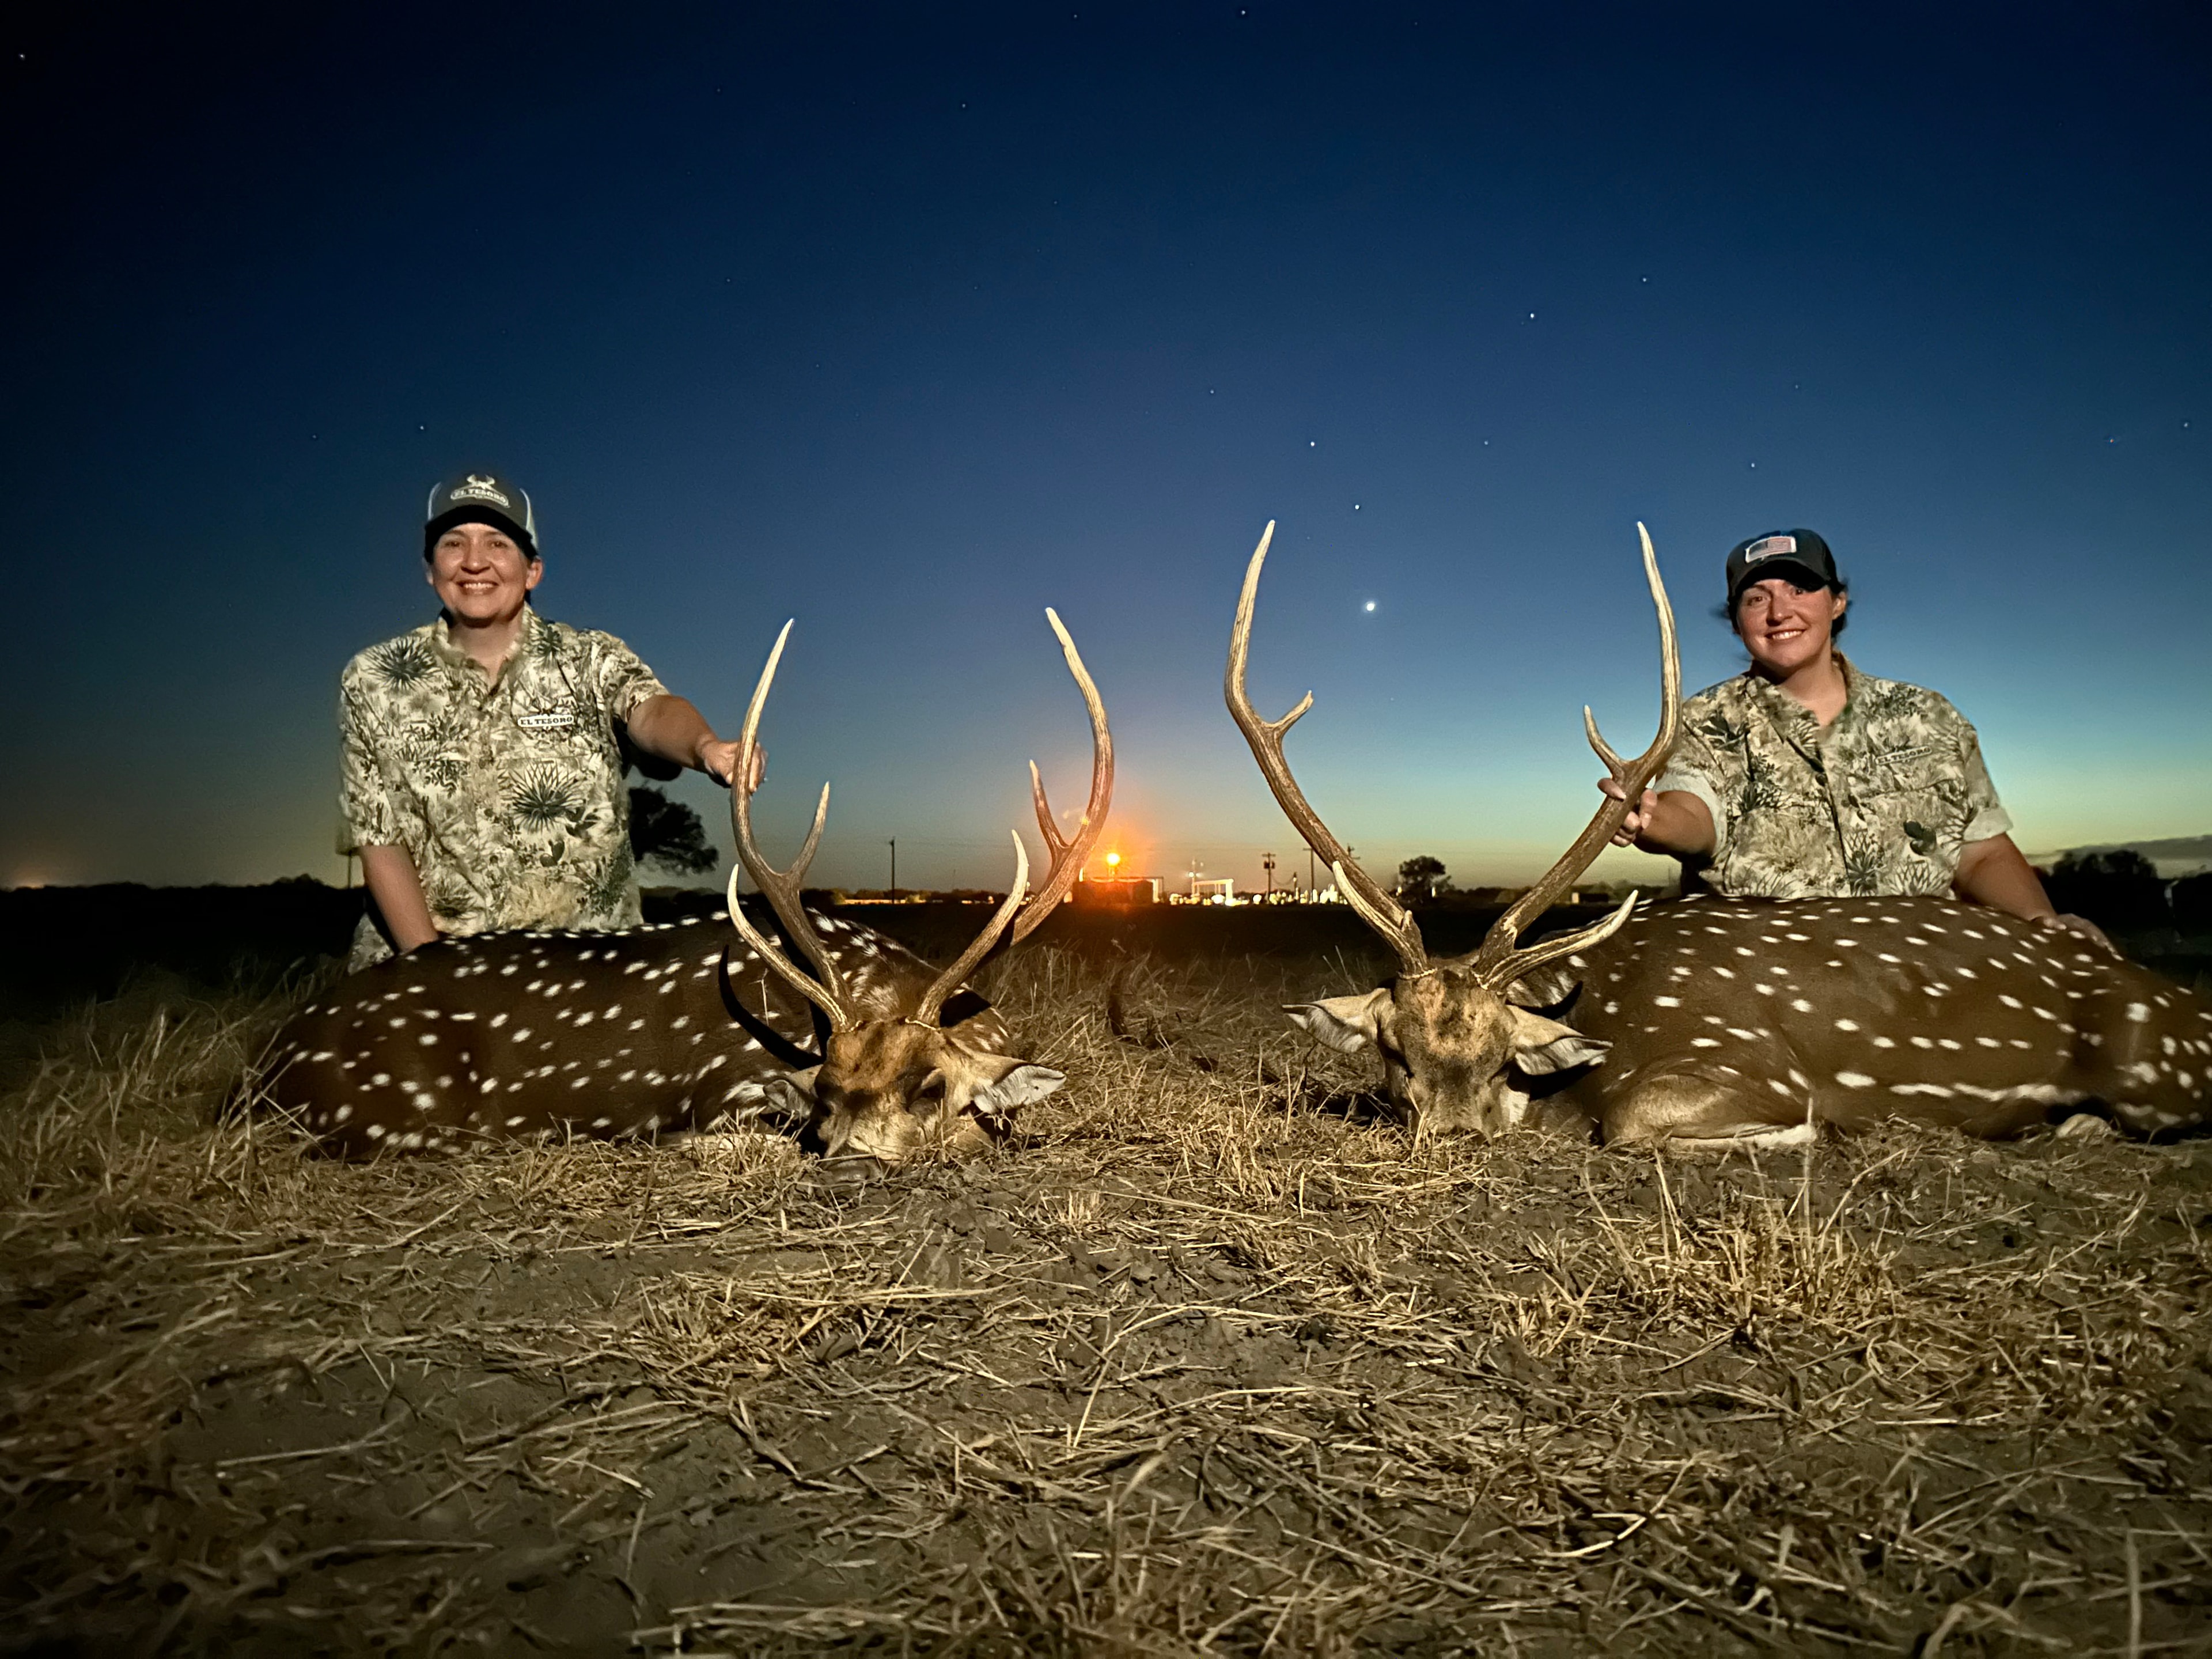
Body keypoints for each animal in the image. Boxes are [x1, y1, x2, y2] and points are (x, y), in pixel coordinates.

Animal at [262, 609, 1111, 1166]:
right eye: (826, 1091)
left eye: (931, 1087)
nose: (844, 1159)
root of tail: (266, 1060)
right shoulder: (726, 1090)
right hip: (380, 1112)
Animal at [1229, 522, 2212, 1150]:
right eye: (1395, 1055)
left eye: (1504, 1055)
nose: (1456, 1139)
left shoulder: (1753, 1067)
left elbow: (1637, 1125)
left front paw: (1813, 1135)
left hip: (2153, 1060)